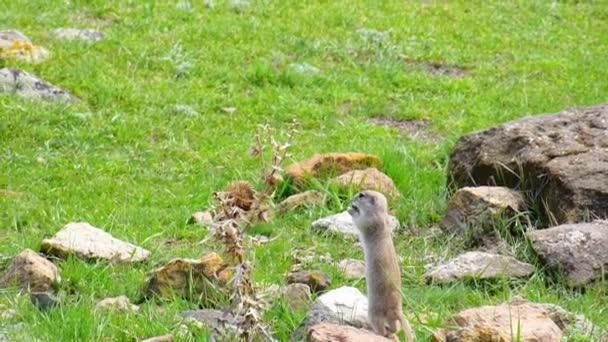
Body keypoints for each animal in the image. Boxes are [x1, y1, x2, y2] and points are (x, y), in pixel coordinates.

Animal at [346, 191, 414, 340]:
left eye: (361, 195)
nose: (352, 197)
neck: (381, 214)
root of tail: (396, 310)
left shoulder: (370, 220)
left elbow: (360, 222)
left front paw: (350, 210)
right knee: (394, 328)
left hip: (374, 313)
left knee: (381, 329)